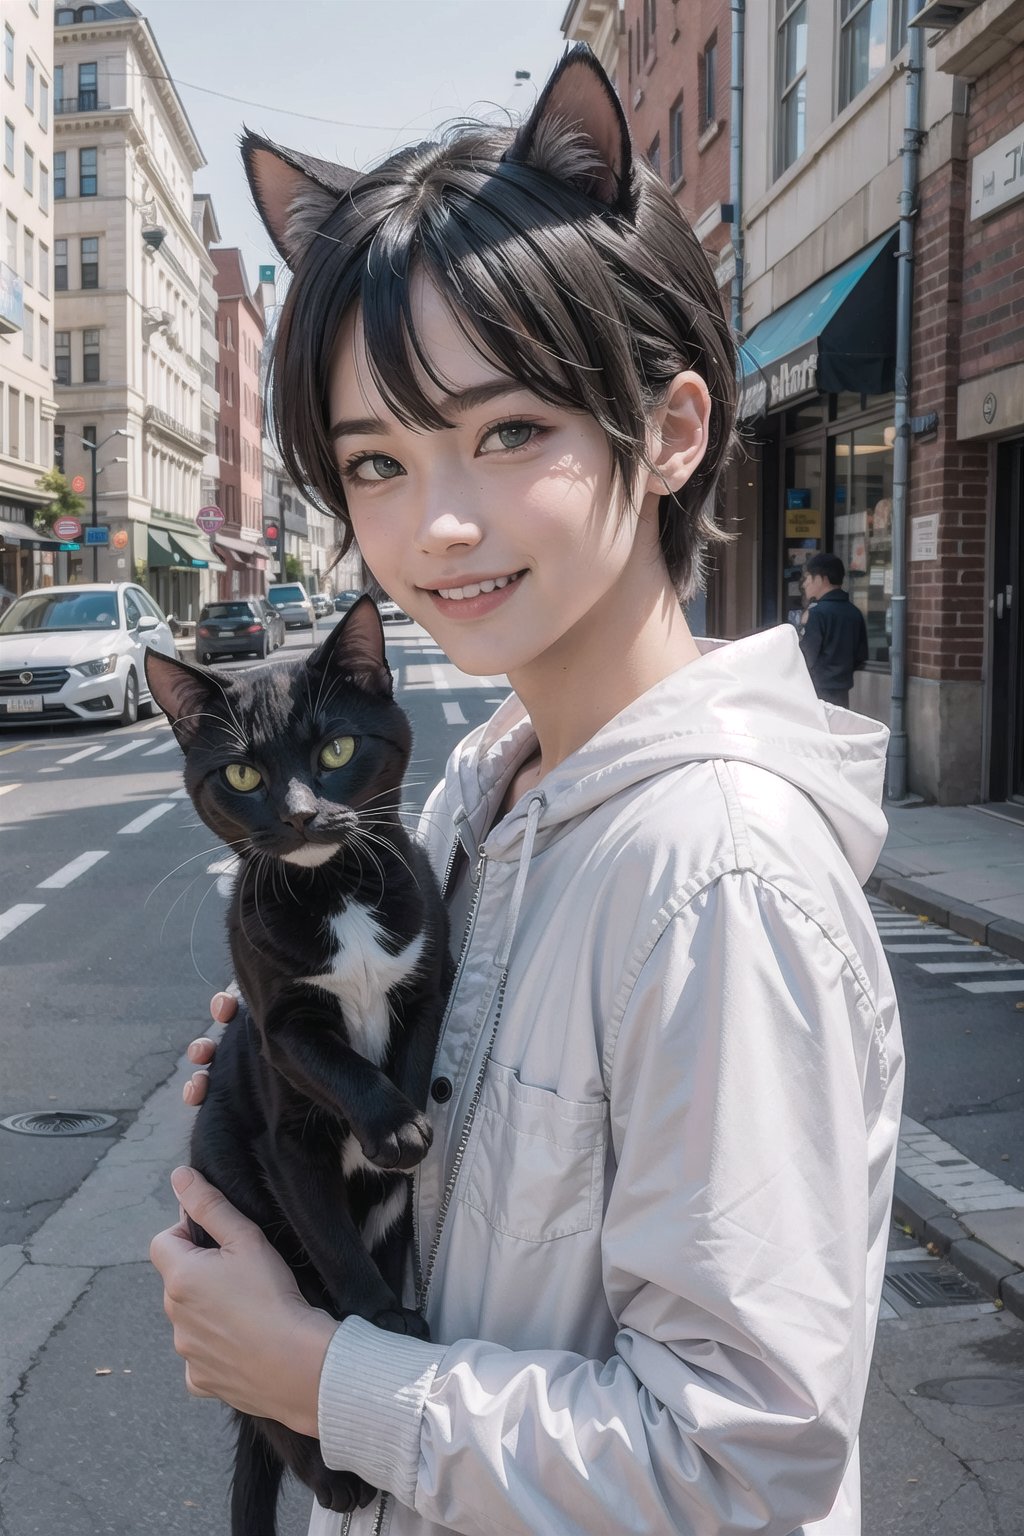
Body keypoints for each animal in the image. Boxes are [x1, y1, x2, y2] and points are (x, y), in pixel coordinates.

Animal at [144, 599, 448, 1536]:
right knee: (266, 1410)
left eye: (337, 751)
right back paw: (337, 1476)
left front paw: (403, 1123)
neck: (337, 894)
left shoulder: (429, 961)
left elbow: (412, 1041)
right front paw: (382, 1319)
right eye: (243, 773)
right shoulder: (277, 1056)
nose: (305, 814)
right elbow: (321, 1068)